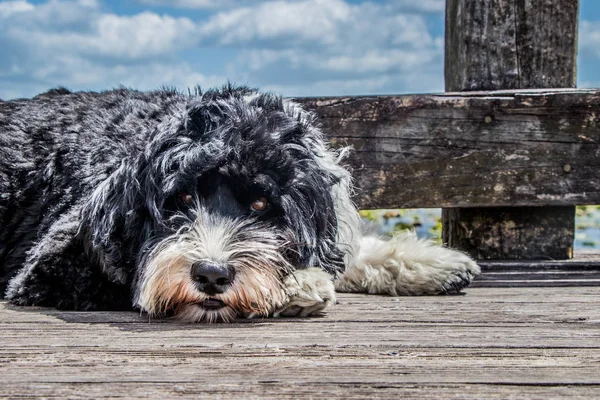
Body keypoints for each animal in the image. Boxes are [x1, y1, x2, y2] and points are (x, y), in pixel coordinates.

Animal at [0, 85, 478, 322]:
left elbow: (344, 252)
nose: (211, 275)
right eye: (182, 197)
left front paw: (429, 263)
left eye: (262, 204)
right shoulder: (49, 267)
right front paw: (299, 285)